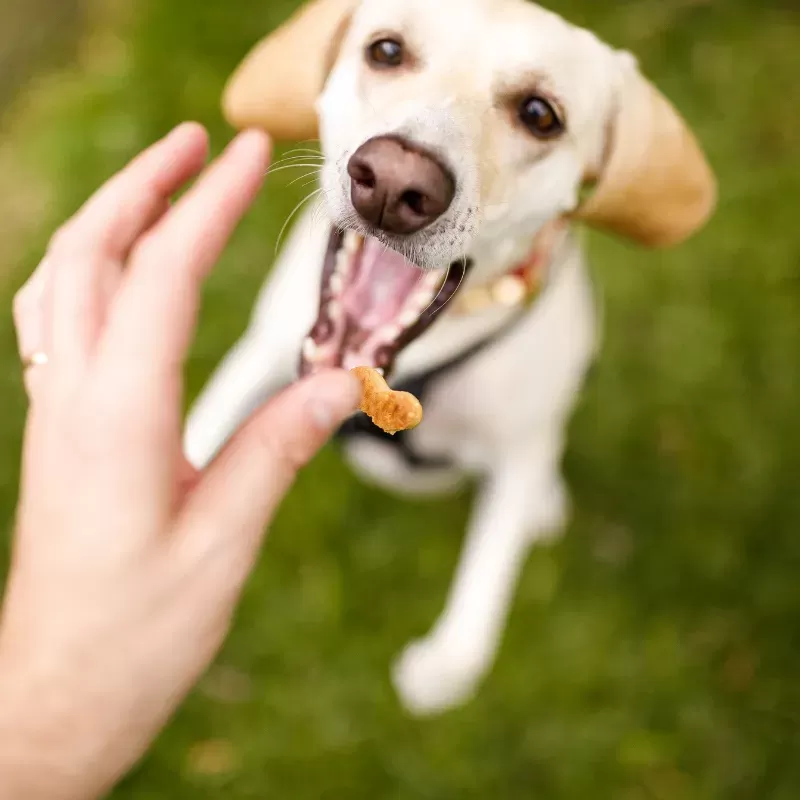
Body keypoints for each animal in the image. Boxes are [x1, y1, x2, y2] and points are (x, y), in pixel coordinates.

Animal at [184, 0, 716, 716]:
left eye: (540, 114)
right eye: (385, 50)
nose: (394, 182)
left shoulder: (519, 448)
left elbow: (480, 604)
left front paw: (443, 666)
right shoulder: (259, 352)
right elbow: (195, 435)